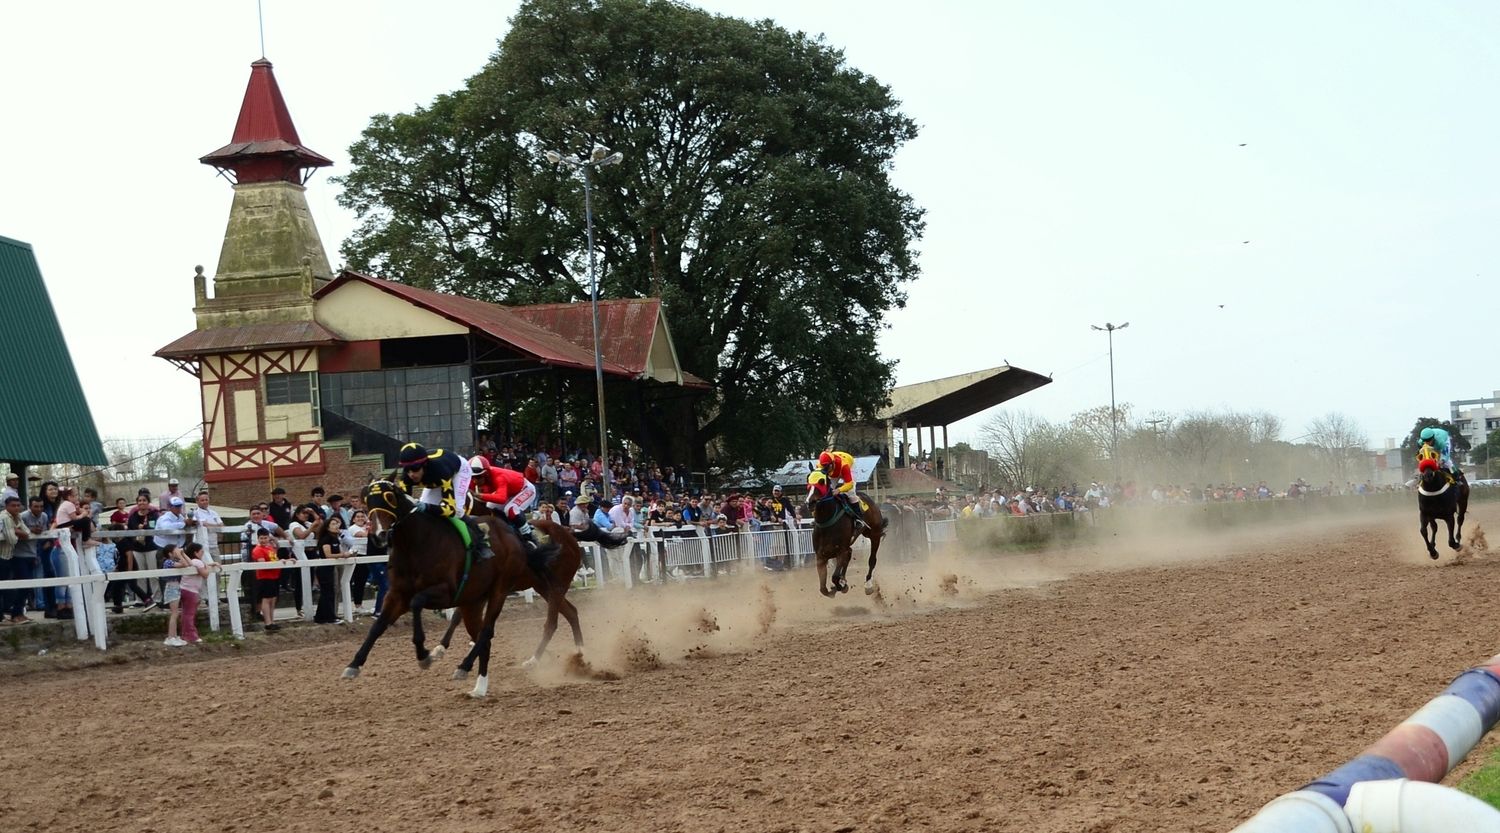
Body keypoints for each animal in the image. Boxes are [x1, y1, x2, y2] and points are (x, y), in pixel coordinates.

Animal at [340, 480, 564, 699]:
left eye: (389, 498)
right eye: (367, 501)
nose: (380, 535)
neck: (415, 544)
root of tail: (514, 536)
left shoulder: (446, 592)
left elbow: (417, 602)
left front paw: (424, 654)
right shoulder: (397, 594)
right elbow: (378, 626)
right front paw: (354, 665)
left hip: (499, 590)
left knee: (486, 632)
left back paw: (464, 668)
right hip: (473, 601)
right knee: (482, 637)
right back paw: (479, 687)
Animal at [810, 468, 888, 600]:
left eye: (821, 481)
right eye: (808, 480)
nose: (810, 502)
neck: (827, 524)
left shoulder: (841, 551)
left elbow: (835, 577)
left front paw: (841, 586)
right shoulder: (821, 556)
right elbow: (823, 589)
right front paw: (836, 587)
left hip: (874, 535)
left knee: (872, 560)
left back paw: (868, 584)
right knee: (850, 553)